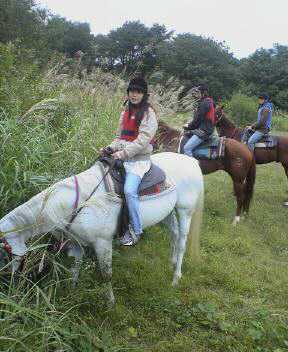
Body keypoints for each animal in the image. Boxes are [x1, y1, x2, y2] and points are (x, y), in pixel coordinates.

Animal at [0, 153, 204, 304]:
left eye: (5, 254)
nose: (9, 288)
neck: (79, 203)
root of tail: (192, 161)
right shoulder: (76, 243)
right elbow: (75, 268)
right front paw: (72, 292)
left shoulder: (102, 243)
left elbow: (106, 274)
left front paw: (110, 303)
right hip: (167, 213)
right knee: (174, 234)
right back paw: (171, 261)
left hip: (185, 211)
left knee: (182, 241)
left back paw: (176, 277)